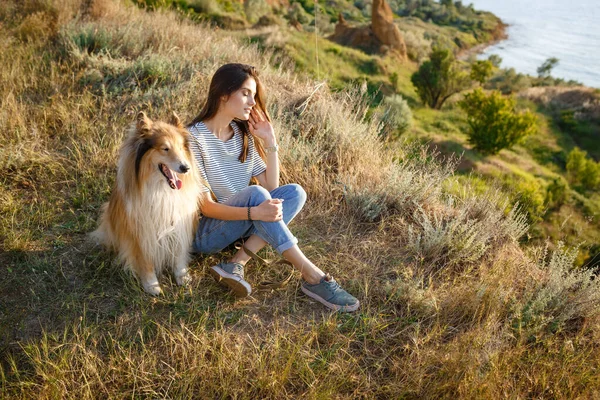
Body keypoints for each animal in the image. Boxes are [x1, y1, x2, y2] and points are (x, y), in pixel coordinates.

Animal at [92, 111, 202, 296]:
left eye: (181, 147)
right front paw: (151, 284)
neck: (161, 188)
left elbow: (179, 251)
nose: (185, 168)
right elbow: (145, 260)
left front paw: (181, 275)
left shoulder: (179, 222)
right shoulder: (141, 231)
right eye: (165, 148)